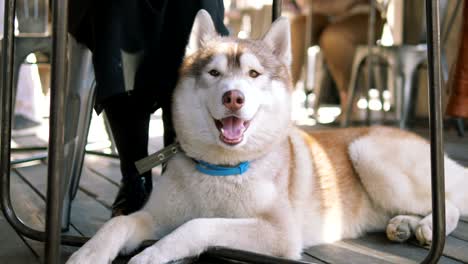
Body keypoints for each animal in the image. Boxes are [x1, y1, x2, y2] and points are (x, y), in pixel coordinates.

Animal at [68, 9, 468, 262]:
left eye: (254, 74)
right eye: (214, 73)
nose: (234, 96)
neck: (222, 169)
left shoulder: (278, 232)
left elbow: (198, 225)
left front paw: (152, 255)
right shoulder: (154, 216)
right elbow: (118, 224)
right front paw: (87, 254)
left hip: (369, 154)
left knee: (448, 203)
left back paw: (426, 227)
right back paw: (404, 224)